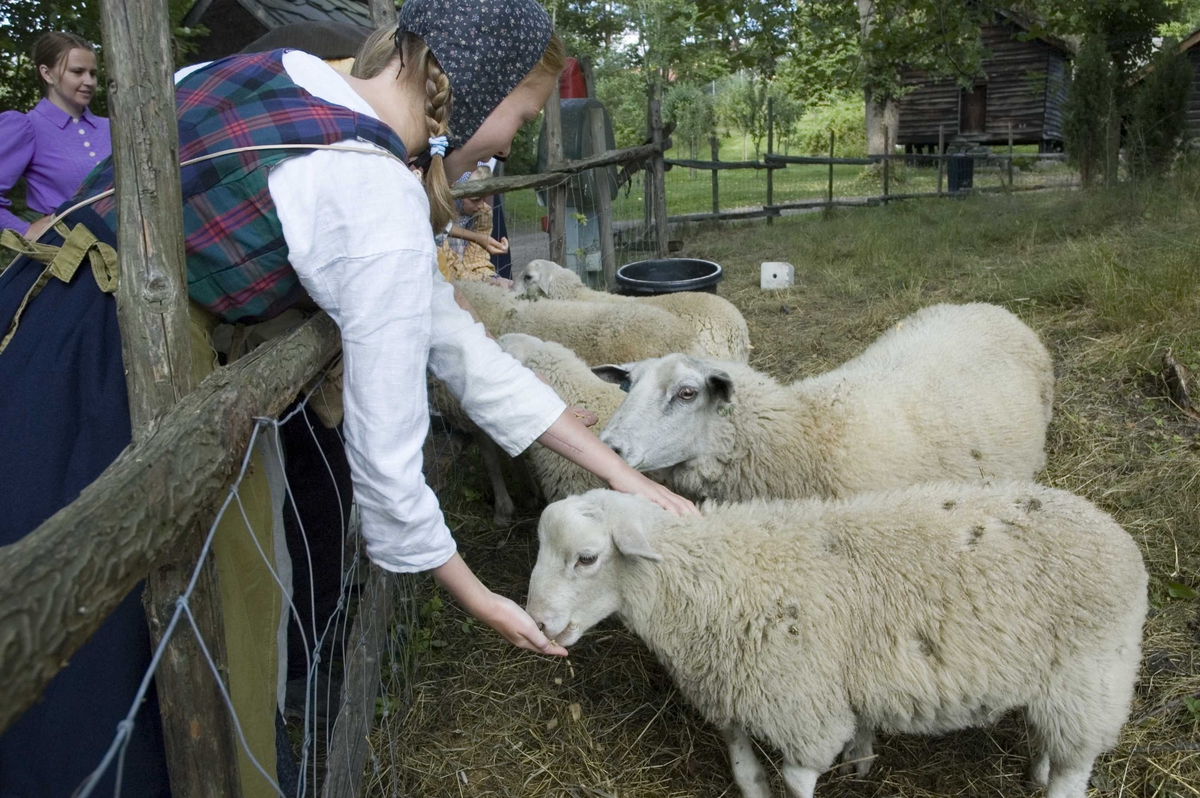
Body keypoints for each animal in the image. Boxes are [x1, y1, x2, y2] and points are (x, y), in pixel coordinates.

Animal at [525, 482, 1142, 796]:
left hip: (1092, 678)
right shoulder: (731, 686)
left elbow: (798, 777)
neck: (716, 574)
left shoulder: (802, 708)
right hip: (1055, 681)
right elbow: (742, 763)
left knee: (1074, 768)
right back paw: (1036, 767)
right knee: (1051, 739)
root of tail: (1117, 533)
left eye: (587, 558)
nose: (537, 624)